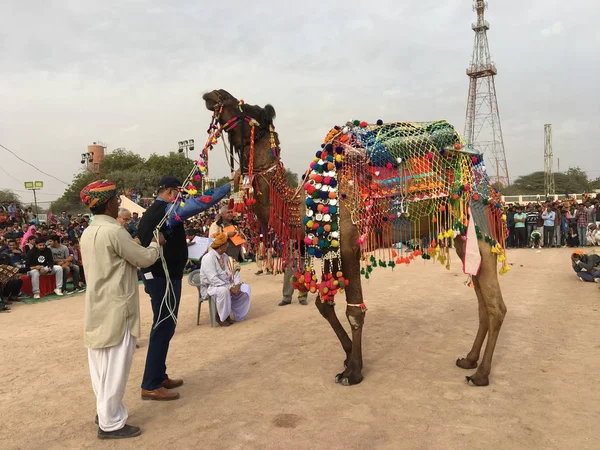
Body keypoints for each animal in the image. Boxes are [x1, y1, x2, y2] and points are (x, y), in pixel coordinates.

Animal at [200, 89, 506, 386]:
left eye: (247, 109)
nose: (213, 94)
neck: (300, 204)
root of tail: (486, 182)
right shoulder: (329, 249)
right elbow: (324, 305)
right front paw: (348, 357)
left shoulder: (348, 247)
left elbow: (354, 311)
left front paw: (354, 371)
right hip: (462, 237)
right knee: (482, 302)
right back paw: (469, 360)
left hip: (479, 226)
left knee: (495, 306)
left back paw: (481, 374)